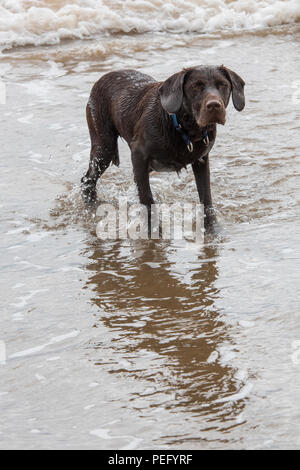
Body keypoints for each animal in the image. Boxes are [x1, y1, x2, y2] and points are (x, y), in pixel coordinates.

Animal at [81, 66, 245, 231]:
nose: (214, 105)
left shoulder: (201, 161)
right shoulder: (138, 155)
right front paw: (152, 229)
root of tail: (103, 77)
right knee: (87, 181)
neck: (184, 129)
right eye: (196, 86)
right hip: (103, 149)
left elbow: (206, 199)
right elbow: (147, 198)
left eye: (223, 85)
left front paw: (212, 228)